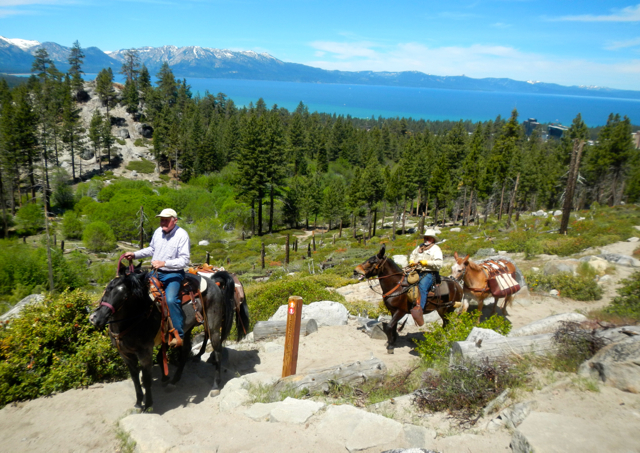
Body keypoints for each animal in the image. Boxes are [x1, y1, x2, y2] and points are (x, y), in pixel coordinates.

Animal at [90, 264, 250, 412]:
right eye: (108, 288)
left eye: (125, 297)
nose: (96, 318)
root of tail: (213, 282)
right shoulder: (125, 354)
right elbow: (136, 379)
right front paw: (138, 403)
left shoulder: (145, 353)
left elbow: (146, 379)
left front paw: (148, 405)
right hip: (187, 329)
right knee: (185, 351)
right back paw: (174, 380)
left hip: (213, 327)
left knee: (217, 351)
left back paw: (216, 385)